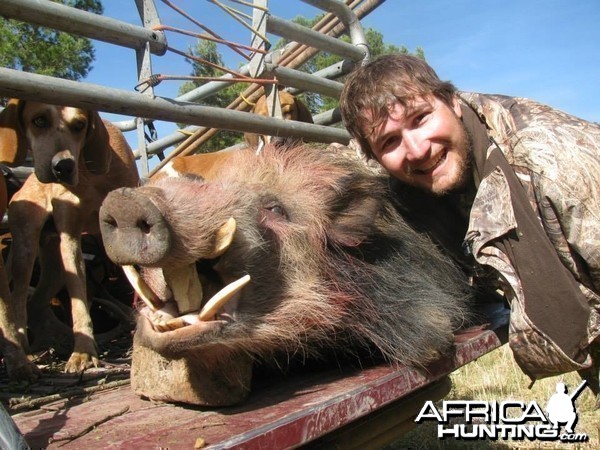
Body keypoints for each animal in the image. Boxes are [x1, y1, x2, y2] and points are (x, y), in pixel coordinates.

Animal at [0, 100, 139, 378]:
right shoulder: (71, 238)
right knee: (19, 299)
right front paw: (83, 352)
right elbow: (78, 301)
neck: (89, 176)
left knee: (36, 304)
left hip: (53, 266)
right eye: (39, 120)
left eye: (80, 125)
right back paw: (25, 356)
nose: (62, 168)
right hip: (26, 249)